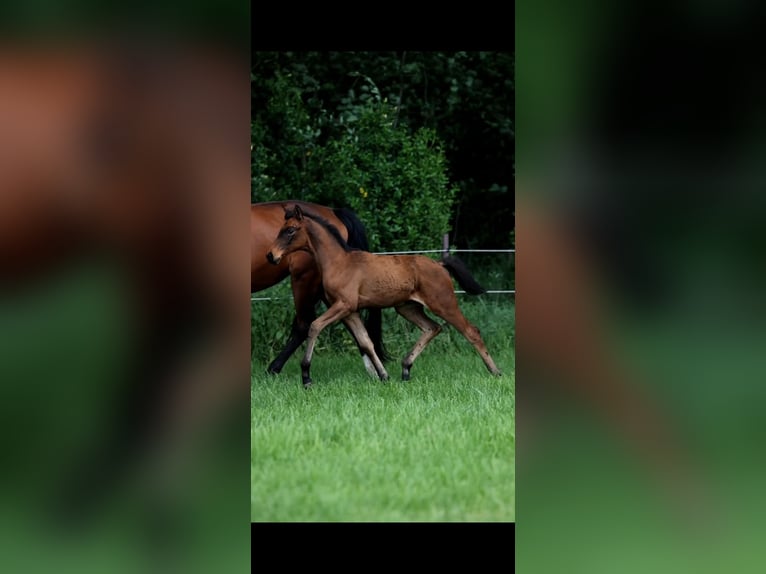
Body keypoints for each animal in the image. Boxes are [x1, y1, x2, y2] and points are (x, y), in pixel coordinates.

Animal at [251, 201, 387, 375]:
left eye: (290, 231)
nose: (270, 255)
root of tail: (334, 211)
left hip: (305, 281)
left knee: (305, 325)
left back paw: (274, 369)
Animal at [266, 204, 502, 387]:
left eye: (291, 230)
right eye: (281, 229)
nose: (271, 256)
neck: (339, 262)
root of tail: (440, 264)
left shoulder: (343, 305)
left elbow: (314, 326)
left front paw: (306, 376)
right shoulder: (349, 311)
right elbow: (366, 342)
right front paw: (384, 376)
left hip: (444, 304)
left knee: (471, 331)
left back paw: (496, 372)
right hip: (407, 307)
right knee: (432, 327)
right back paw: (405, 369)